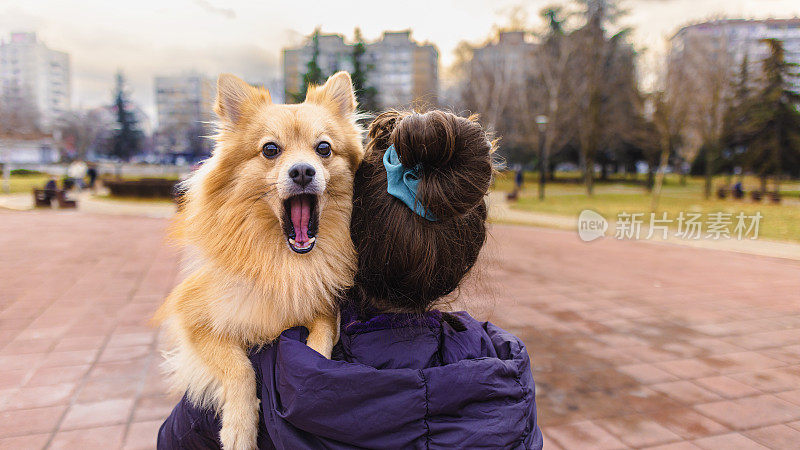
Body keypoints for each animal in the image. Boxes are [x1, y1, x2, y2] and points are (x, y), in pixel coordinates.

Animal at [156, 72, 362, 448]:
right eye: (270, 150)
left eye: (323, 149)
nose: (302, 171)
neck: (285, 261)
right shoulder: (192, 319)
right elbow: (238, 367)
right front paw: (239, 427)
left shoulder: (324, 306)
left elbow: (321, 339)